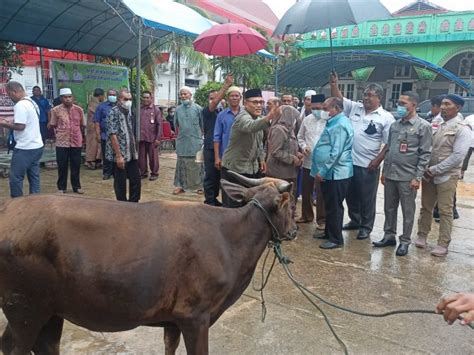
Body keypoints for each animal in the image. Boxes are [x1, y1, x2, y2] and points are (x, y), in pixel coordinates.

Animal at [0, 172, 296, 354]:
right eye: (290, 205)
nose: (293, 230)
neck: (229, 240)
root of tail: (7, 208)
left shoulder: (173, 320)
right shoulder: (195, 315)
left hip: (51, 310)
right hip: (25, 308)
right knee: (16, 346)